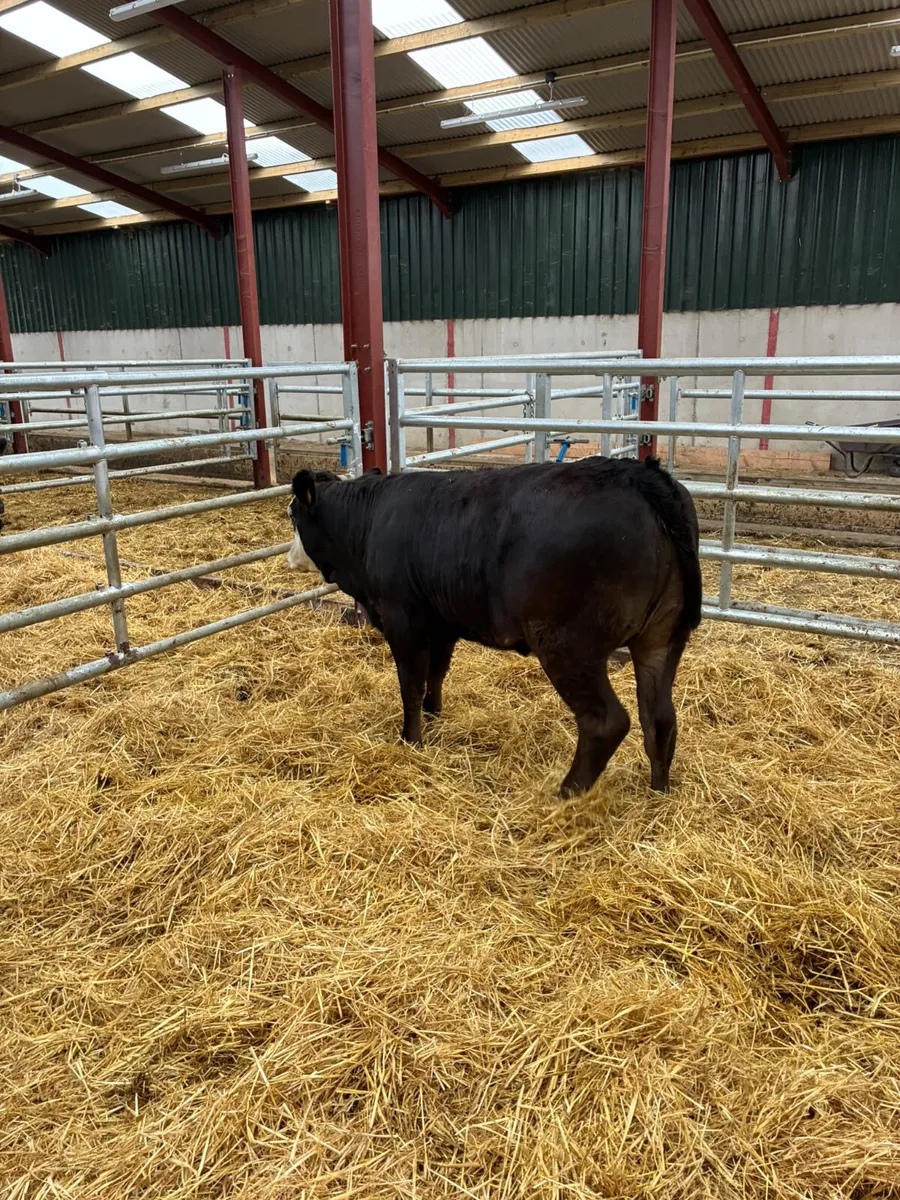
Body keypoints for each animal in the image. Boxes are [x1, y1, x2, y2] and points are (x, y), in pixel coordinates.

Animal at [286, 456, 701, 796]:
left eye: (292, 514)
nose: (290, 557)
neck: (368, 522)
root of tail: (637, 474)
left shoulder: (403, 619)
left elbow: (411, 683)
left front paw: (411, 740)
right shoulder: (442, 622)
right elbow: (437, 672)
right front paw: (434, 714)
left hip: (568, 645)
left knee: (605, 722)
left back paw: (565, 795)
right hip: (661, 639)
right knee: (659, 717)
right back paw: (658, 792)